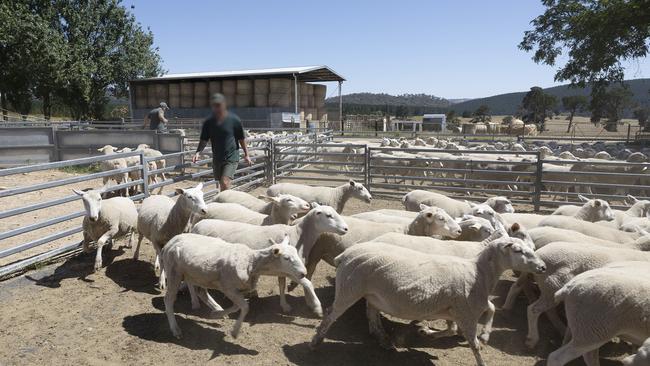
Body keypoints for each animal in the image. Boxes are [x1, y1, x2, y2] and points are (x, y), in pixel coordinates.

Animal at [162, 234, 318, 338]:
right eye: (286, 258)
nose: (304, 273)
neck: (251, 262)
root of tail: (169, 242)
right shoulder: (228, 288)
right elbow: (245, 307)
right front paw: (235, 331)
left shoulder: (238, 290)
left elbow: (238, 306)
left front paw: (216, 315)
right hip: (174, 273)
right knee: (168, 299)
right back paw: (175, 329)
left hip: (199, 275)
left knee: (202, 293)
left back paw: (217, 309)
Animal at [189, 203, 346, 312]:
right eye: (329, 215)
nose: (346, 228)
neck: (298, 235)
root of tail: (196, 226)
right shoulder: (292, 270)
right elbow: (308, 283)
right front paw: (317, 307)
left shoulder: (284, 270)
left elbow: (282, 286)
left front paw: (284, 305)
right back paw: (203, 304)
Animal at [312, 234, 544, 366]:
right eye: (518, 250)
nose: (542, 267)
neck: (478, 272)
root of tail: (345, 255)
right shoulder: (467, 313)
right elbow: (475, 346)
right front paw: (481, 354)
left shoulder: (456, 310)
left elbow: (476, 316)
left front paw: (427, 332)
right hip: (349, 288)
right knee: (331, 313)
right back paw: (316, 342)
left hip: (371, 294)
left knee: (372, 314)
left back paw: (384, 340)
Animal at [520, 242, 648, 348]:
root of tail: (539, 254)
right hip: (552, 287)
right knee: (533, 310)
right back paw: (532, 339)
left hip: (550, 291)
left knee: (547, 311)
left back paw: (560, 328)